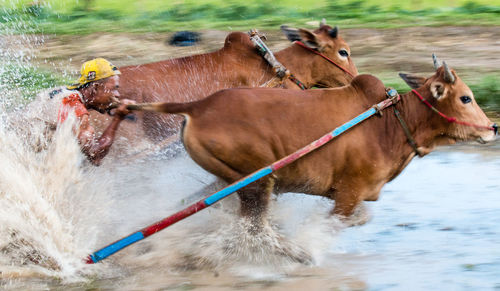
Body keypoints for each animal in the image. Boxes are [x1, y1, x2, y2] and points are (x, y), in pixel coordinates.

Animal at [127, 56, 494, 230]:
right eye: (465, 97)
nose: (493, 128)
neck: (390, 124)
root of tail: (198, 106)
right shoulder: (347, 195)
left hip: (227, 180)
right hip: (257, 181)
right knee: (253, 226)